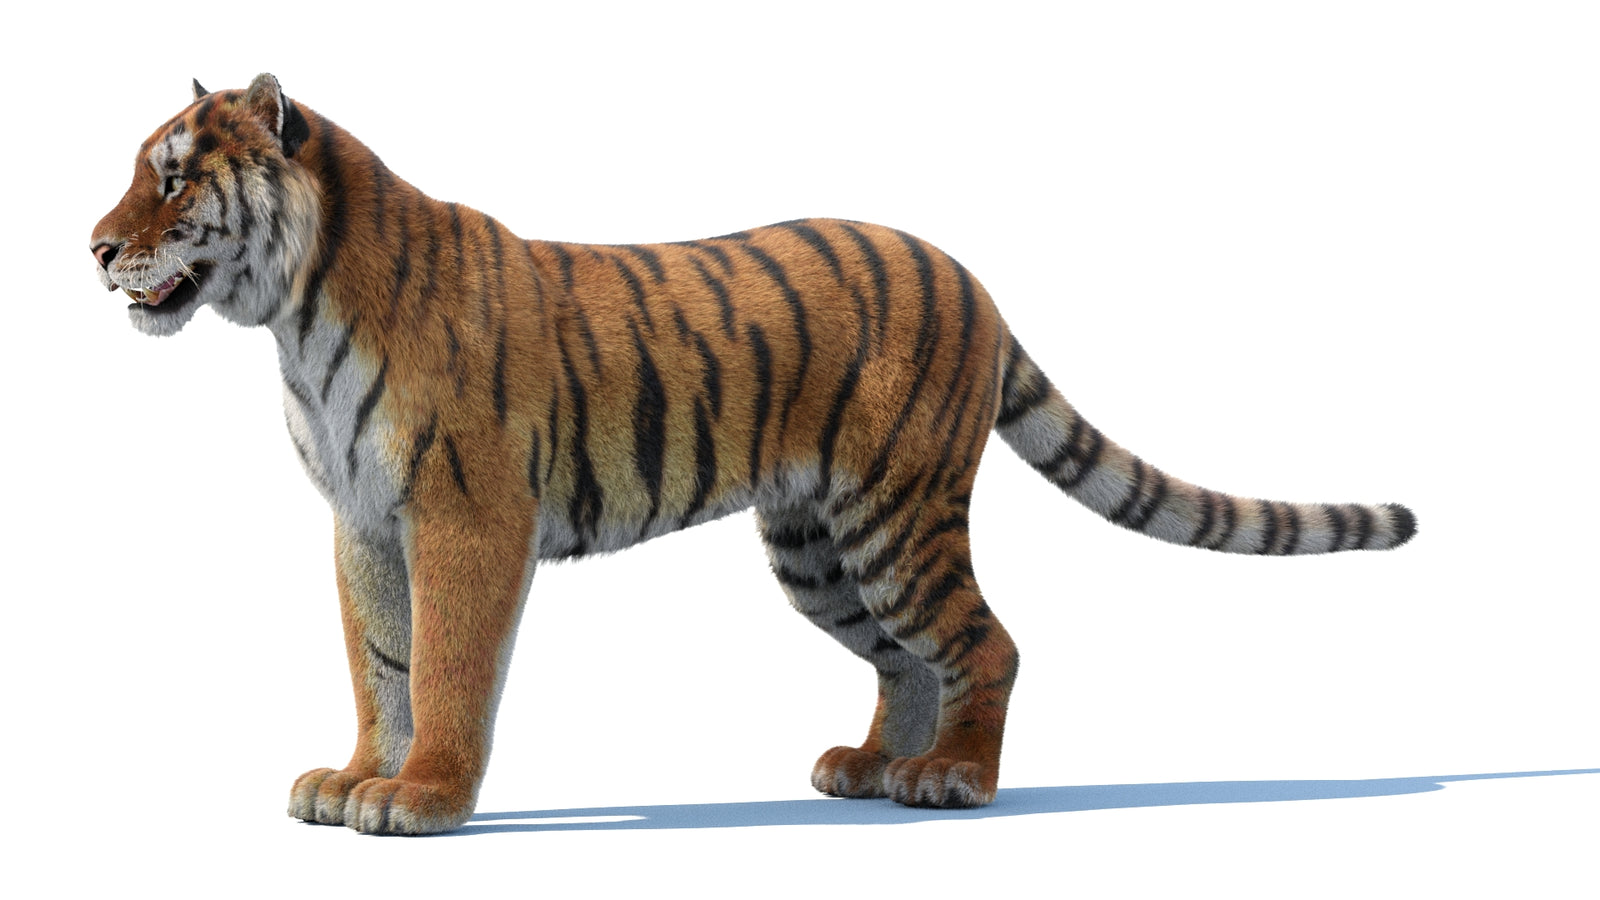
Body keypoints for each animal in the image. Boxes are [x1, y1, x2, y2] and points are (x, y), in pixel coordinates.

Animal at [89, 74, 1416, 835]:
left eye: (173, 179)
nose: (94, 247)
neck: (296, 317)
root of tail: (970, 275)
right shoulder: (363, 521)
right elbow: (381, 660)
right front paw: (356, 777)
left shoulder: (465, 518)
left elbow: (451, 665)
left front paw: (422, 799)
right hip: (819, 546)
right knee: (905, 661)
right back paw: (873, 768)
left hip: (897, 515)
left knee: (985, 642)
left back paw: (955, 781)